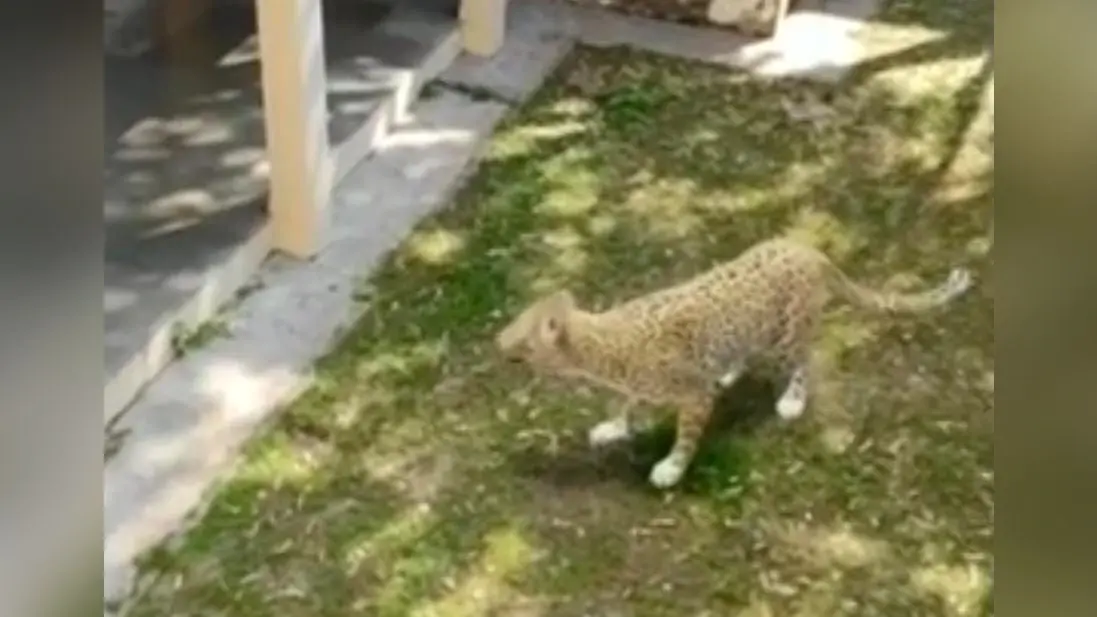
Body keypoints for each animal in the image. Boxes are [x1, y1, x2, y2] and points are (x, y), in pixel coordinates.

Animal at [495, 236, 974, 489]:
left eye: (519, 335)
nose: (497, 341)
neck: (600, 350)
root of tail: (807, 248)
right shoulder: (638, 386)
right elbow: (625, 405)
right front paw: (613, 426)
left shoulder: (692, 398)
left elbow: (686, 438)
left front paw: (670, 468)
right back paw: (728, 370)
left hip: (787, 336)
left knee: (803, 362)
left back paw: (791, 400)